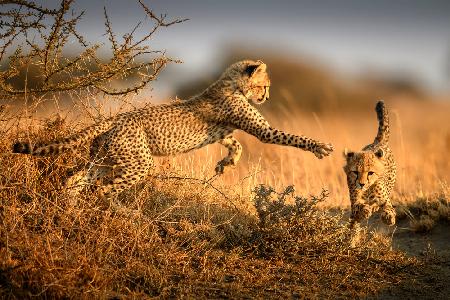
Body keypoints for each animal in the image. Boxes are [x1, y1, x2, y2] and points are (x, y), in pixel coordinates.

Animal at [12, 59, 334, 198]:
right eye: (264, 86)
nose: (266, 97)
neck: (231, 83)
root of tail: (115, 118)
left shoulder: (226, 131)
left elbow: (236, 144)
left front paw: (226, 164)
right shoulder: (262, 131)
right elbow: (290, 137)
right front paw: (320, 146)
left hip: (105, 159)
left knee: (76, 177)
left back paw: (68, 204)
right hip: (137, 163)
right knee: (103, 189)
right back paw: (116, 210)